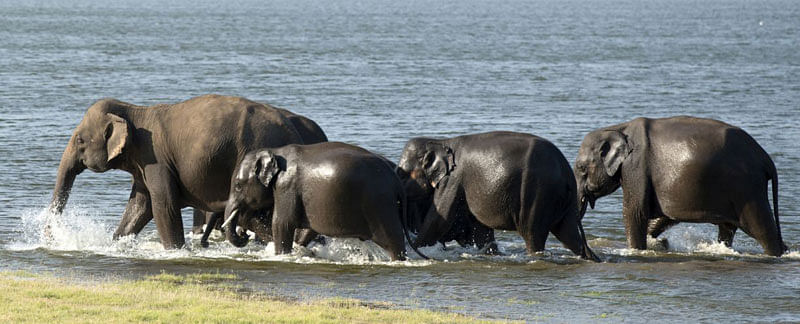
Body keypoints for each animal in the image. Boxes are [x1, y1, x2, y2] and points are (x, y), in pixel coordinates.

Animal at [47, 93, 308, 248]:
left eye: (80, 140)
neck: (134, 111)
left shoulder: (155, 159)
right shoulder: (143, 164)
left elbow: (163, 205)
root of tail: (294, 131)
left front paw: (175, 250)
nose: (51, 238)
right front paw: (116, 244)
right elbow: (139, 207)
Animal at [396, 131, 596, 260]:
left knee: (533, 234)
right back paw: (589, 258)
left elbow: (438, 221)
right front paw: (490, 252)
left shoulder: (452, 180)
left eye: (403, 175)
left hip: (538, 192)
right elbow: (481, 232)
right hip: (561, 201)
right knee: (569, 234)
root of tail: (566, 171)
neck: (442, 141)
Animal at [576, 116, 788, 256]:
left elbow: (635, 213)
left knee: (763, 230)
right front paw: (658, 243)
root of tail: (766, 159)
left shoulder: (635, 168)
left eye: (580, 168)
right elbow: (664, 216)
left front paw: (637, 250)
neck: (618, 128)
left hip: (748, 189)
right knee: (728, 228)